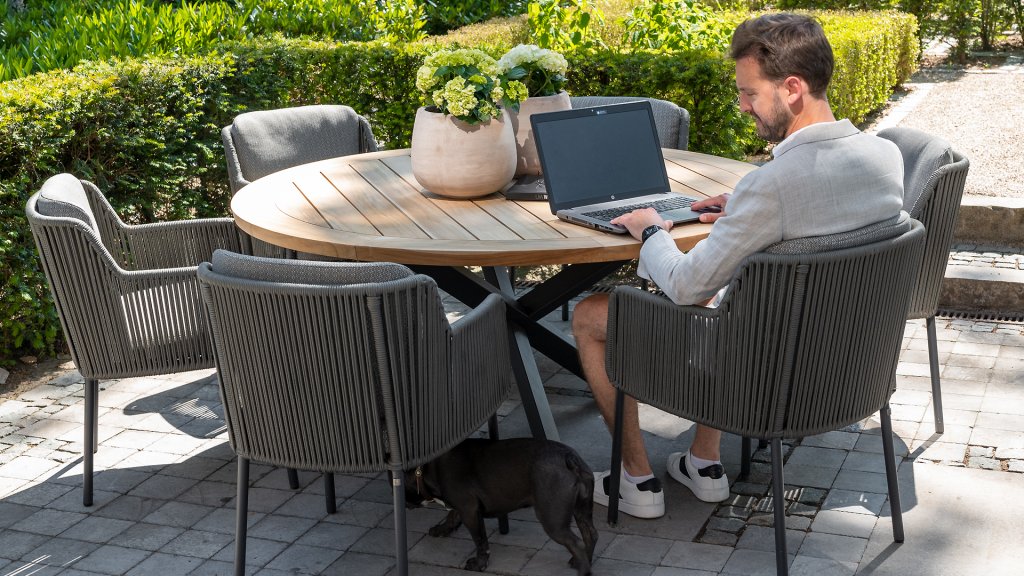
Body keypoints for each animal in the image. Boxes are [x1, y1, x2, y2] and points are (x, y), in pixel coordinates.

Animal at [406, 437, 597, 574]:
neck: (426, 469)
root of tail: (569, 458)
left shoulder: (469, 511)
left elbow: (480, 540)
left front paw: (479, 564)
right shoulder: (462, 507)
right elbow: (452, 515)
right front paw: (441, 529)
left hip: (552, 520)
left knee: (577, 543)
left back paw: (583, 569)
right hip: (582, 510)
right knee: (591, 534)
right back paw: (584, 561)